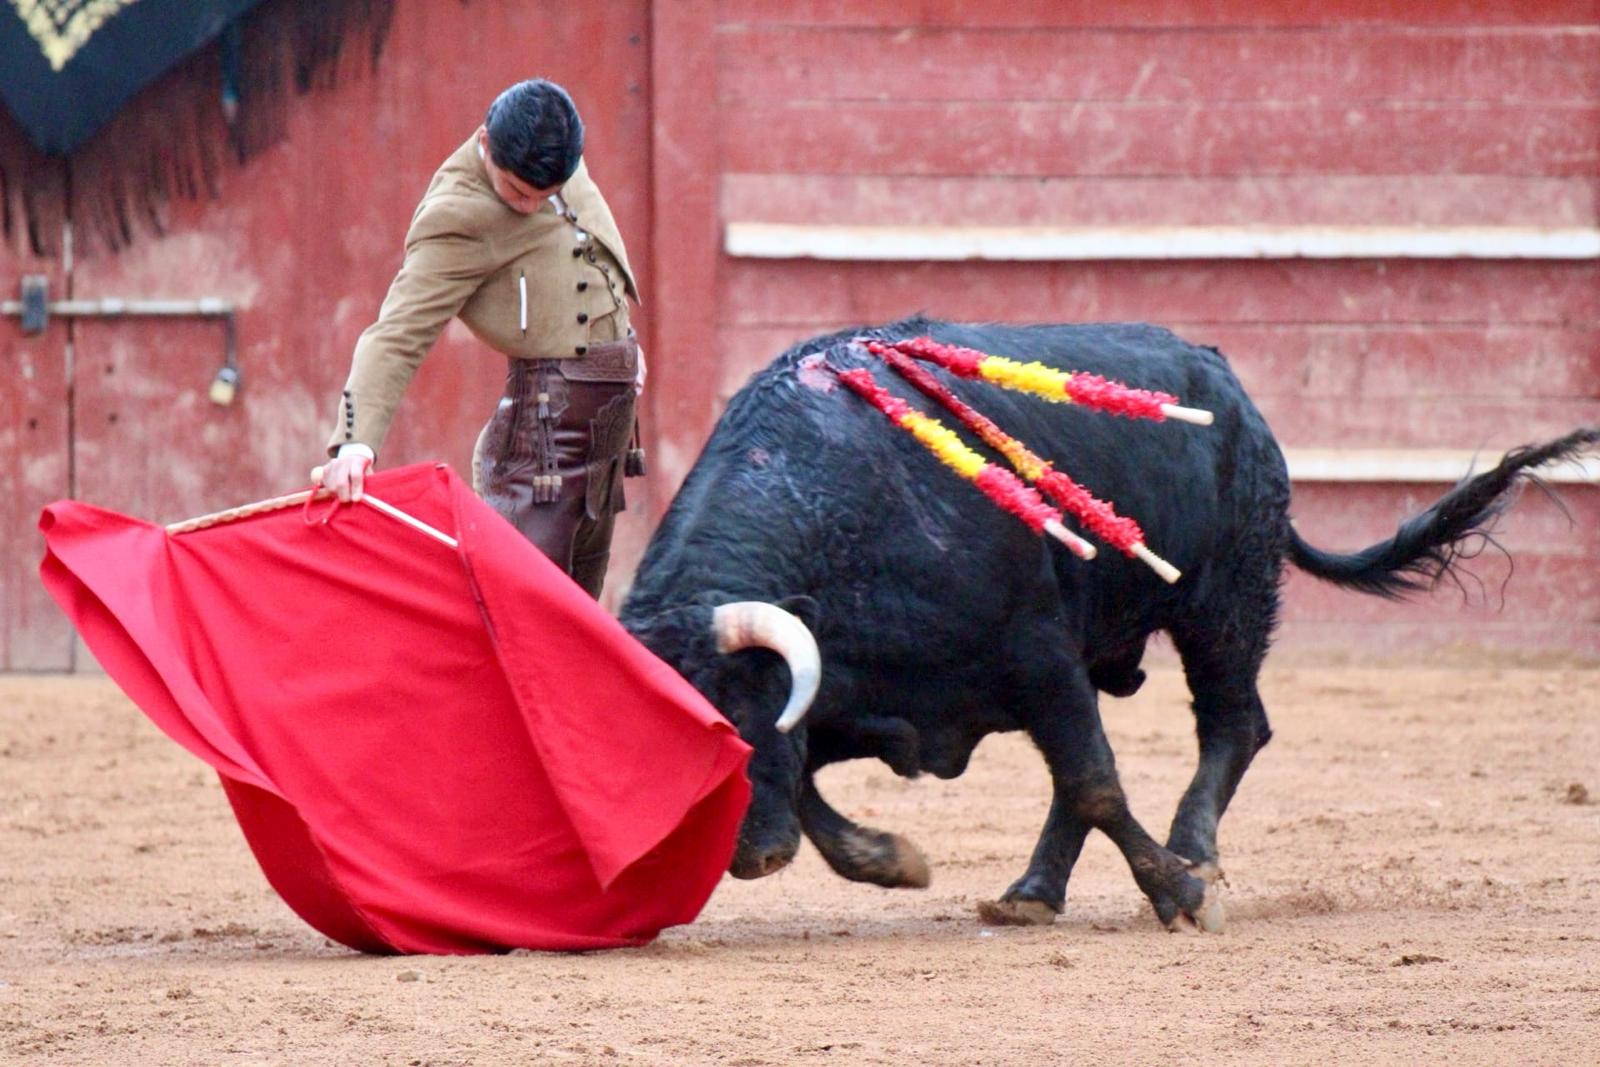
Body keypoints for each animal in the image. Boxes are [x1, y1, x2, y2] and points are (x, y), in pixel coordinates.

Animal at [617, 319, 1593, 934]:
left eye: (737, 726)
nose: (748, 859)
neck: (840, 508)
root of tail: (1224, 377)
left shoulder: (1036, 656)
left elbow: (1095, 782)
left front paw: (1183, 894)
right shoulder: (866, 697)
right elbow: (818, 786)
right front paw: (891, 857)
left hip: (1224, 603)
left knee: (1234, 723)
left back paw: (1193, 853)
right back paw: (1031, 891)